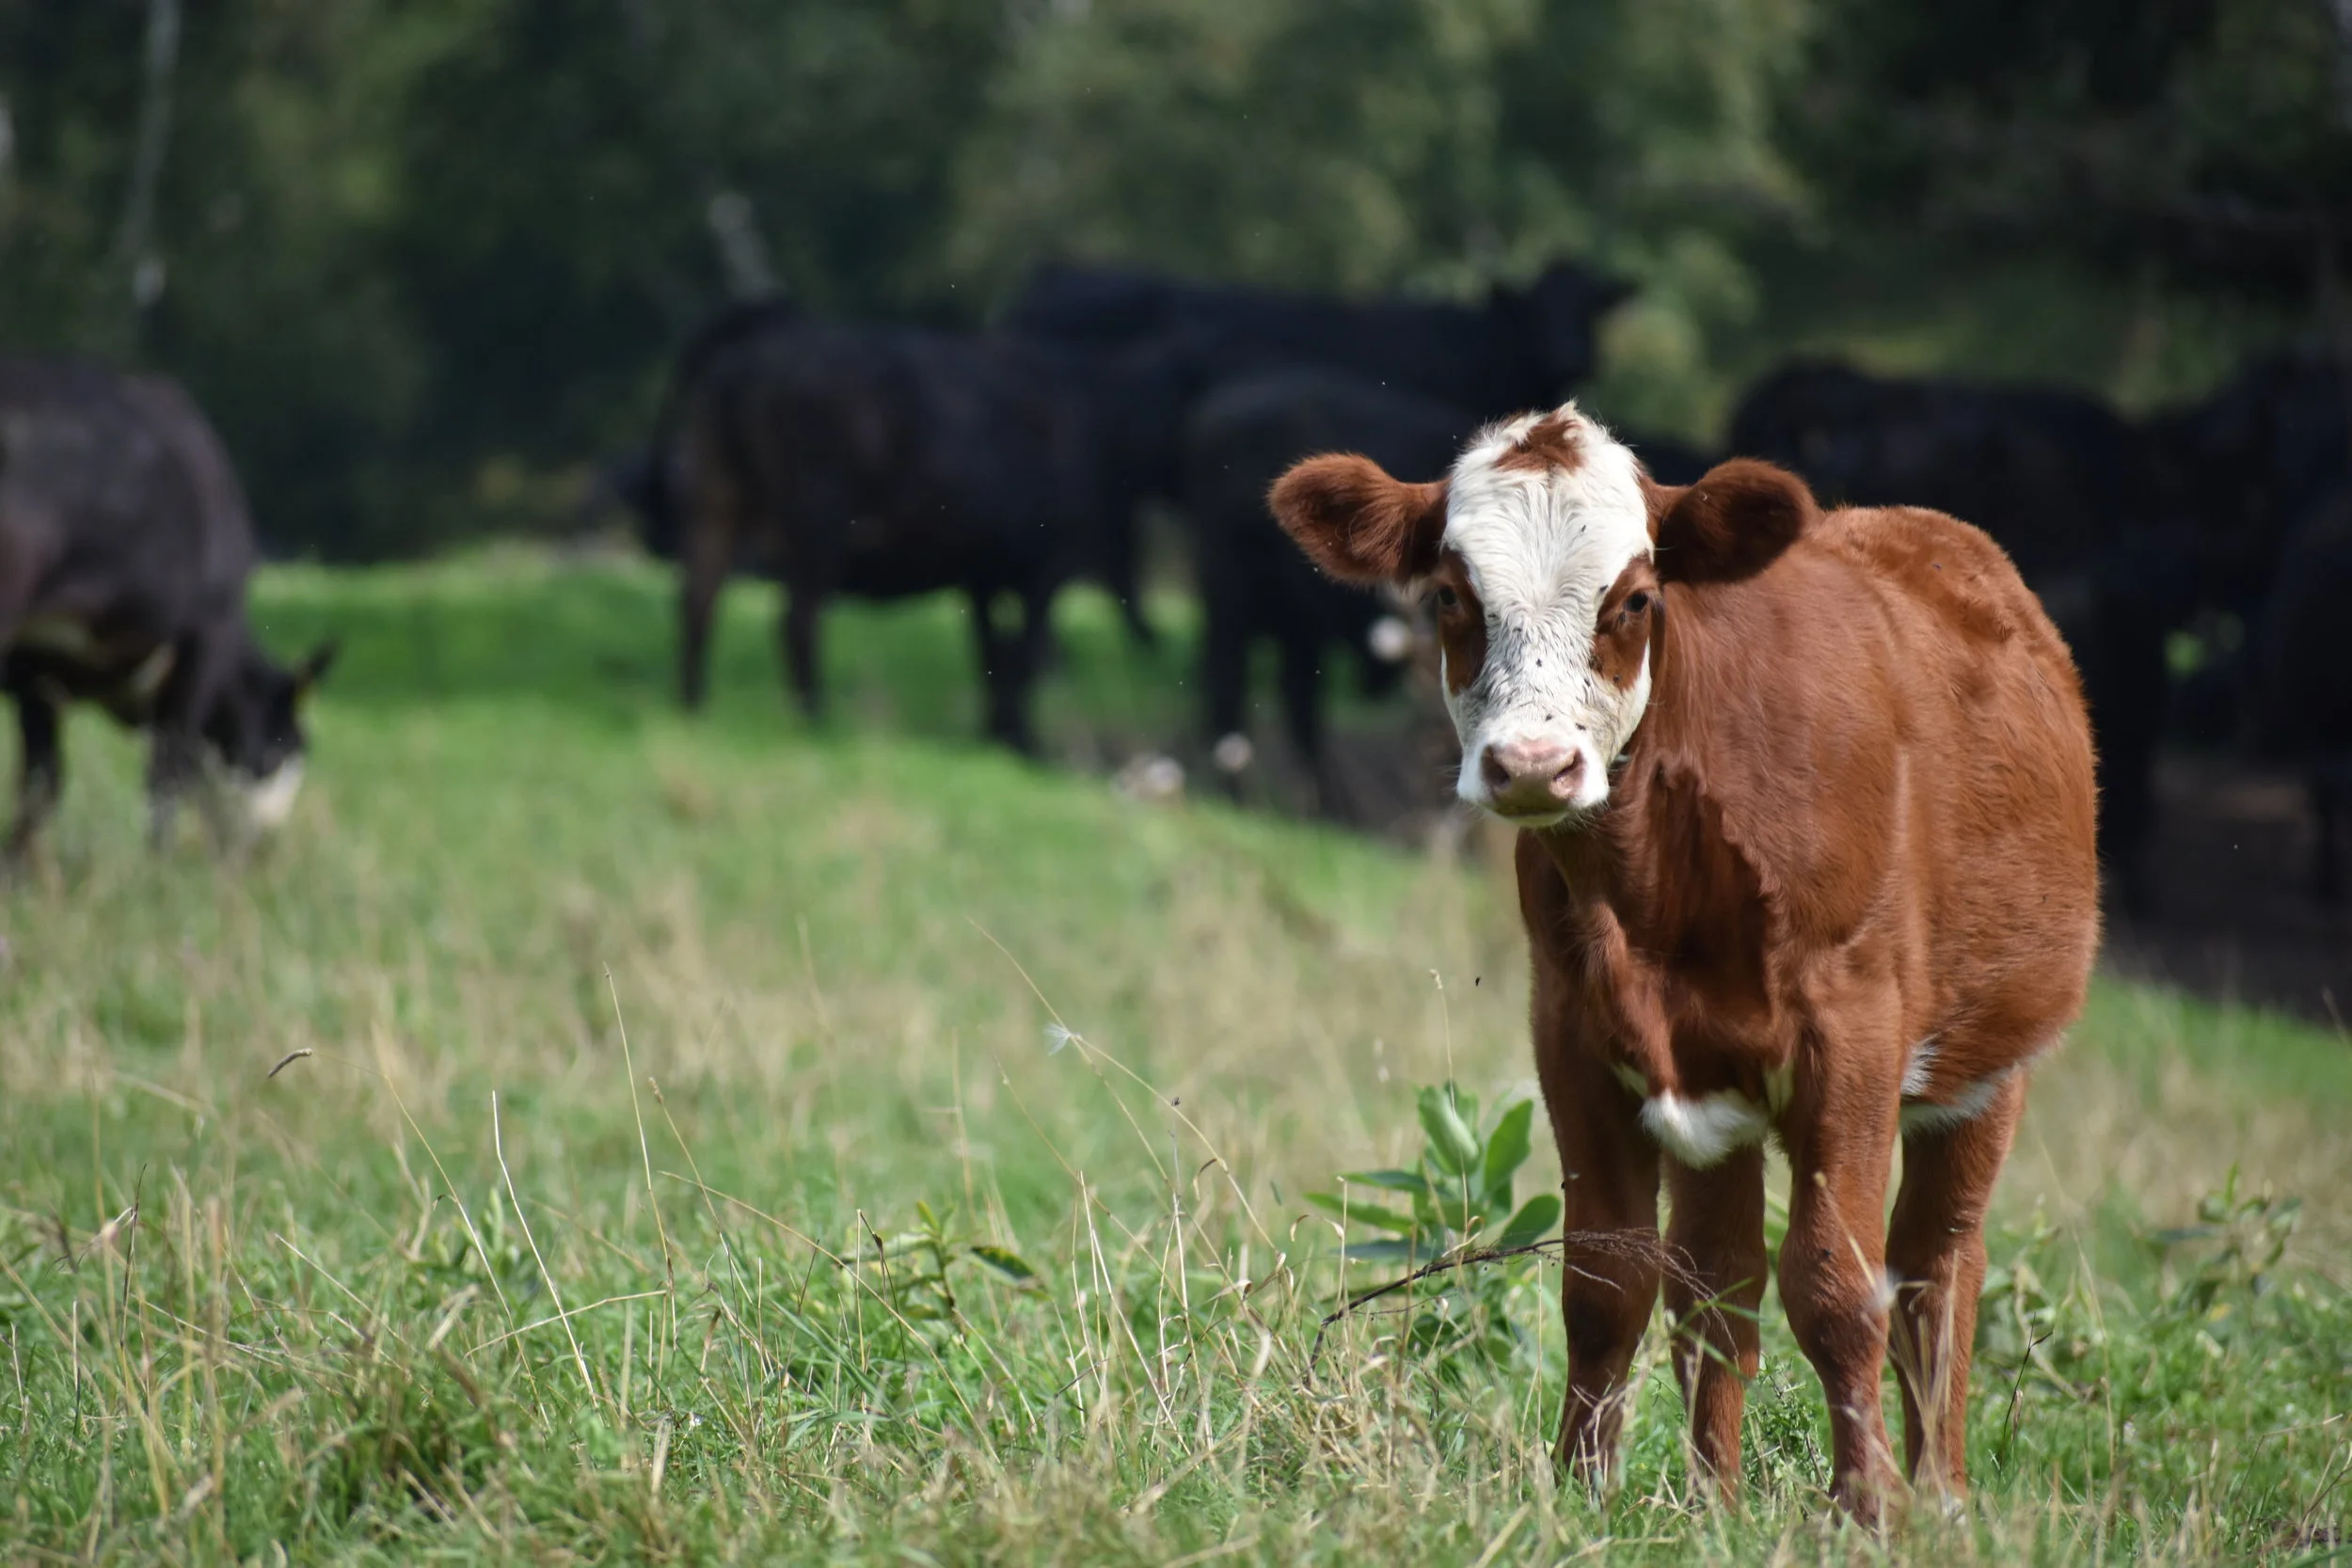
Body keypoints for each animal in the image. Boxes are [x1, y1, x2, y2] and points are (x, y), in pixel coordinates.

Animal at [0, 358, 334, 861]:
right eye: (285, 748)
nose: (262, 851)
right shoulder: (202, 643)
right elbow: (169, 773)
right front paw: (159, 869)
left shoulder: (39, 670)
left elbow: (41, 784)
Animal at [667, 316, 1179, 752]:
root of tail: (751, 357)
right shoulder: (1047, 565)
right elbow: (1024, 654)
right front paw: (1022, 740)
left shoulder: (984, 573)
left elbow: (991, 652)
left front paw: (996, 733)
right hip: (816, 524)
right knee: (796, 619)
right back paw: (815, 720)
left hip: (717, 502)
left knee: (698, 599)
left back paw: (694, 707)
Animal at [1269, 405, 2100, 1517]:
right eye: (1449, 595)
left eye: (1634, 599)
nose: (1532, 765)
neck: (1654, 883)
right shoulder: (1575, 1037)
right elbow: (1610, 1282)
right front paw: (1581, 1490)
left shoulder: (1855, 1037)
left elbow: (1838, 1284)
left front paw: (1869, 1506)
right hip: (1718, 1101)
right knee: (1720, 1282)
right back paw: (1715, 1496)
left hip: (1987, 1066)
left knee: (1936, 1266)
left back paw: (1939, 1493)